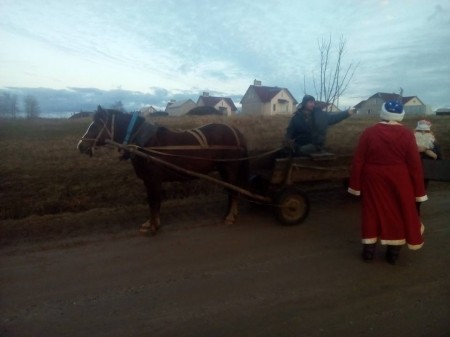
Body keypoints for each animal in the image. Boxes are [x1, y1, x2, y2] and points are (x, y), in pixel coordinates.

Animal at [76, 105, 248, 234]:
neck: (145, 143)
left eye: (97, 125)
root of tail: (237, 132)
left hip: (229, 169)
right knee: (231, 191)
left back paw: (230, 216)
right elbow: (153, 201)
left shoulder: (152, 179)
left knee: (233, 191)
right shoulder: (148, 180)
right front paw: (151, 222)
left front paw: (153, 225)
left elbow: (154, 201)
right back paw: (230, 213)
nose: (80, 146)